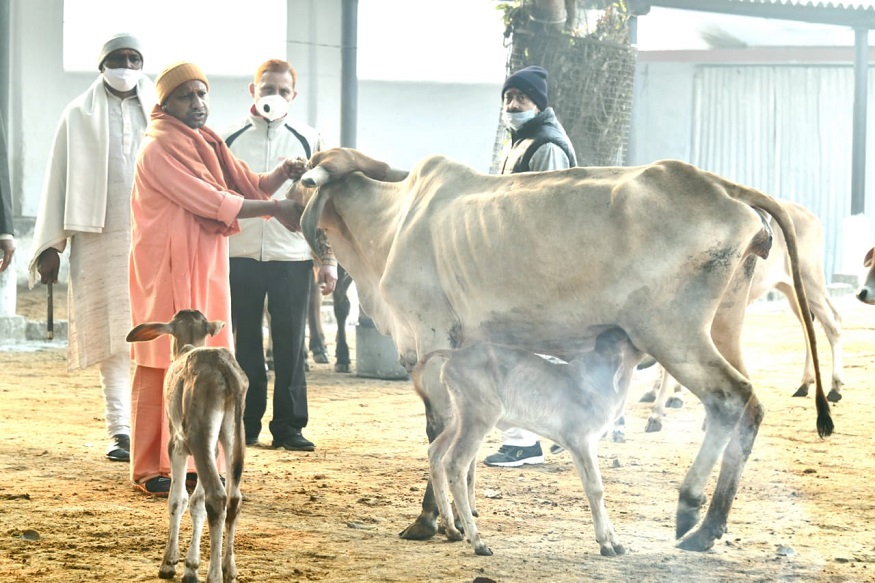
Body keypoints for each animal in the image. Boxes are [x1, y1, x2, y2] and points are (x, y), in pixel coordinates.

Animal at [125, 312, 246, 583]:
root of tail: (225, 373)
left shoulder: (177, 443)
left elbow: (178, 499)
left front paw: (170, 563)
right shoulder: (212, 448)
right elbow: (196, 502)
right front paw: (191, 566)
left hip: (198, 434)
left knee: (216, 496)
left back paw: (214, 575)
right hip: (233, 435)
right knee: (232, 497)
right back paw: (229, 570)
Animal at [410, 330, 644, 560]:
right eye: (627, 340)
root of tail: (455, 355)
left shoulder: (590, 443)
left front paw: (614, 541)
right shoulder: (580, 441)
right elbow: (595, 489)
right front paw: (606, 543)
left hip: (460, 418)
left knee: (435, 452)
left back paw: (451, 529)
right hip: (479, 417)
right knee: (455, 463)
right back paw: (478, 542)